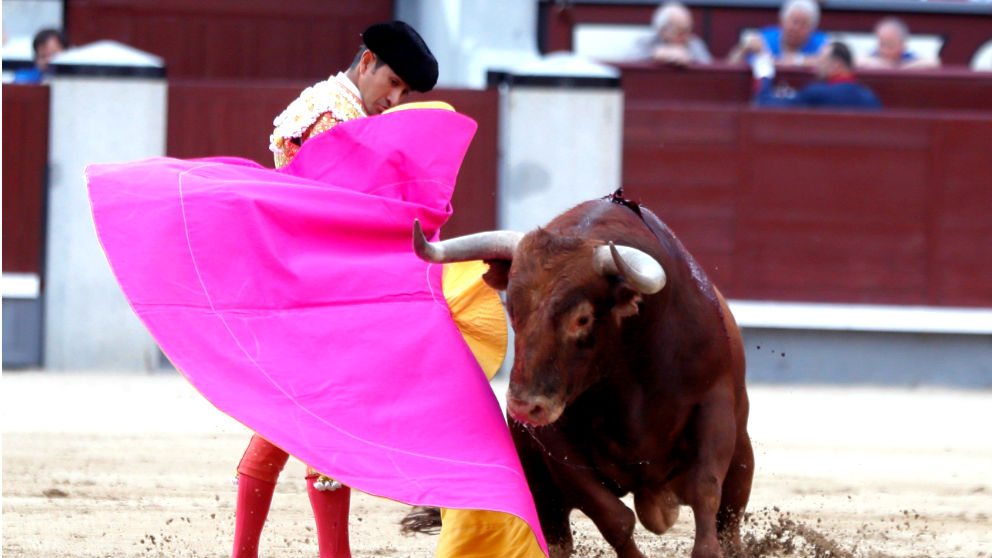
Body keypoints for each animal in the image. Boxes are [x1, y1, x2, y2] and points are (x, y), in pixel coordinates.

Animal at [416, 194, 752, 558]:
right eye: (512, 310)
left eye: (582, 318)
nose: (524, 407)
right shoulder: (552, 436)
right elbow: (612, 515)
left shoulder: (714, 405)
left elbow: (705, 488)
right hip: (540, 486)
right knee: (558, 536)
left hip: (742, 459)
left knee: (729, 521)